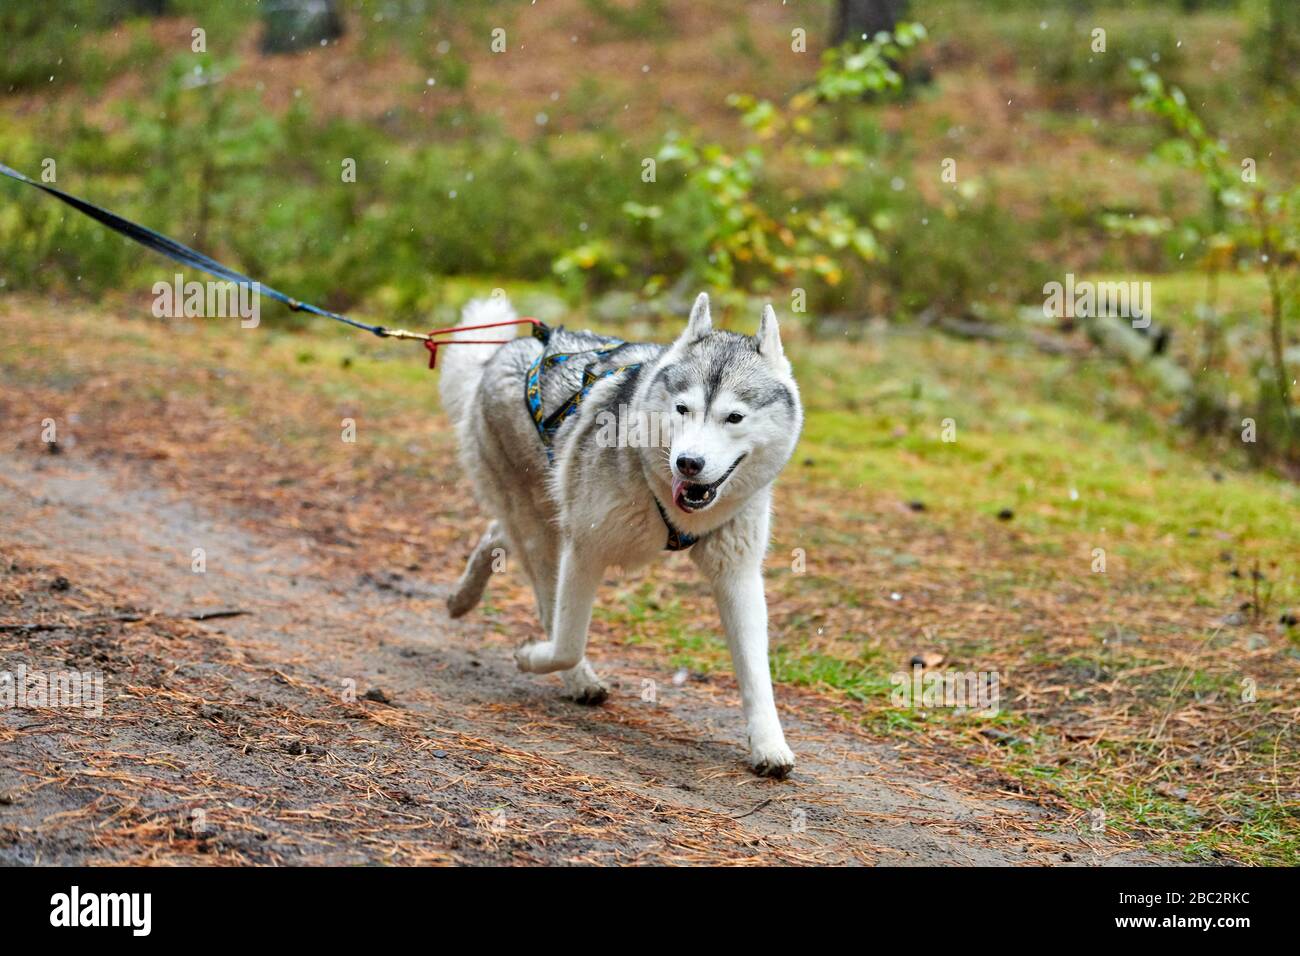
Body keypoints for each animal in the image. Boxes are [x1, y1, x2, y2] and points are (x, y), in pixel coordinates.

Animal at [439, 293, 800, 780]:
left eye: (734, 417)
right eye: (682, 409)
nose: (688, 463)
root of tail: (506, 350)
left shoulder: (738, 574)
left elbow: (757, 673)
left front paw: (768, 745)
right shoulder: (584, 550)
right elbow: (567, 642)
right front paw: (533, 657)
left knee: (497, 534)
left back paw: (463, 597)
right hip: (542, 529)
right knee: (541, 593)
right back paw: (573, 675)